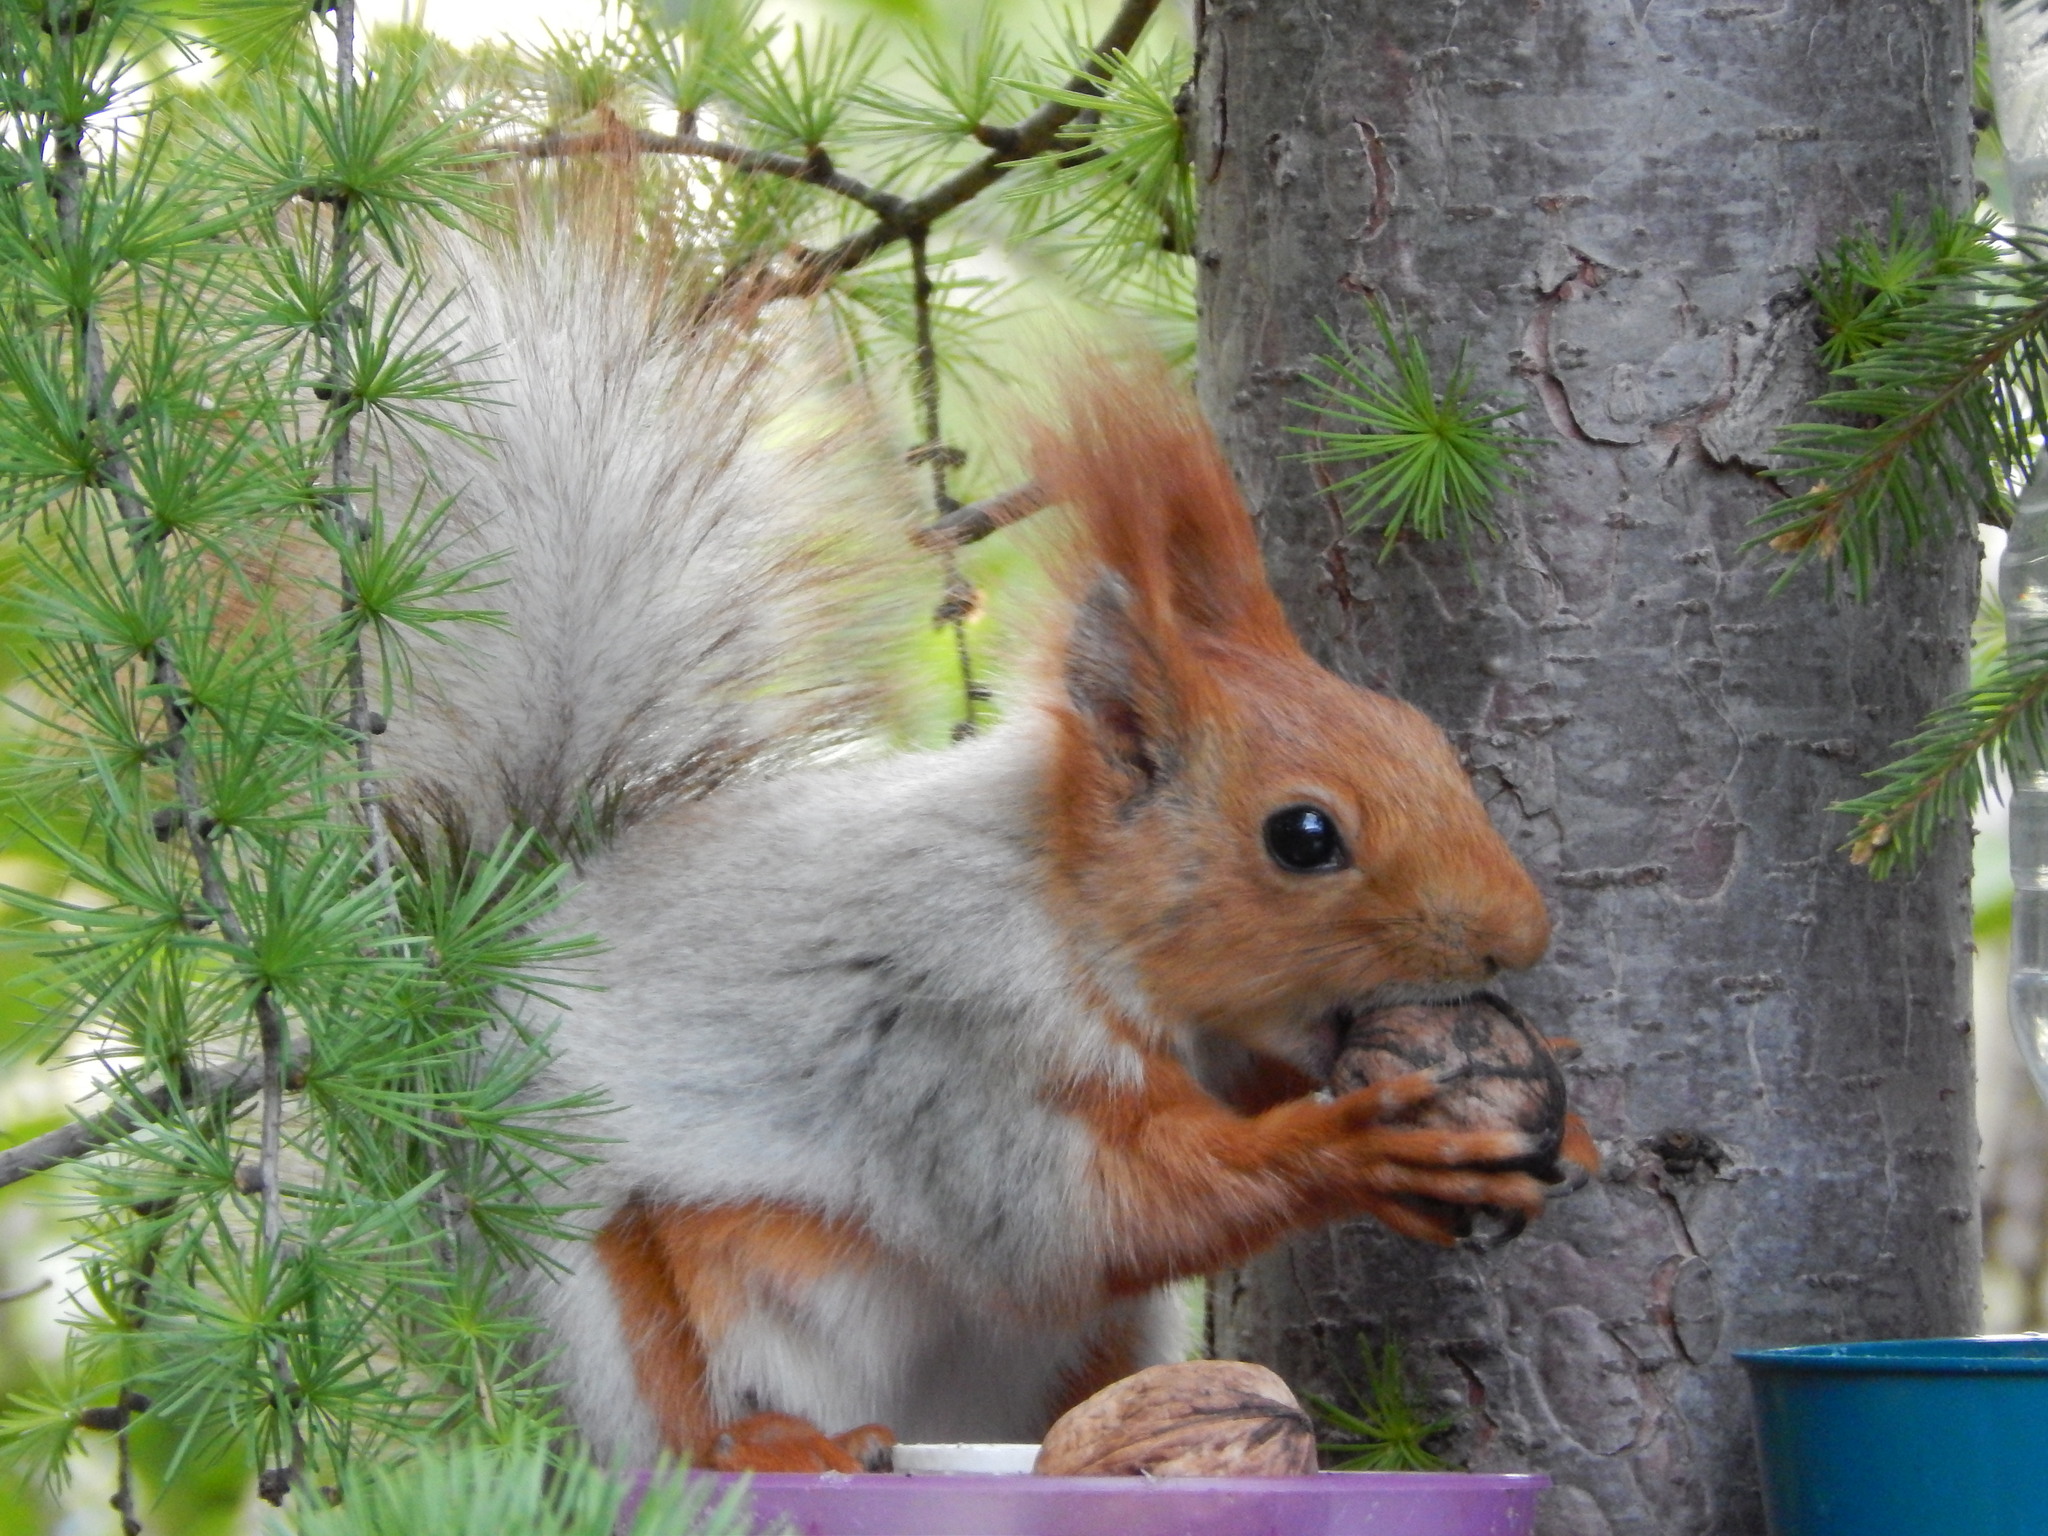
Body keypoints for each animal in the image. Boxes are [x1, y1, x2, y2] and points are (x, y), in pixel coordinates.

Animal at [385, 222, 1589, 1474]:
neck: (1064, 906)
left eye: (1420, 736)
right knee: (670, 1419)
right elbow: (1077, 1223)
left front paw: (1564, 1115)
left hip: (1089, 1347)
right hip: (642, 1282)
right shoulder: (954, 1031)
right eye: (1302, 836)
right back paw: (774, 1447)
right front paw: (1359, 1150)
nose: (1519, 937)